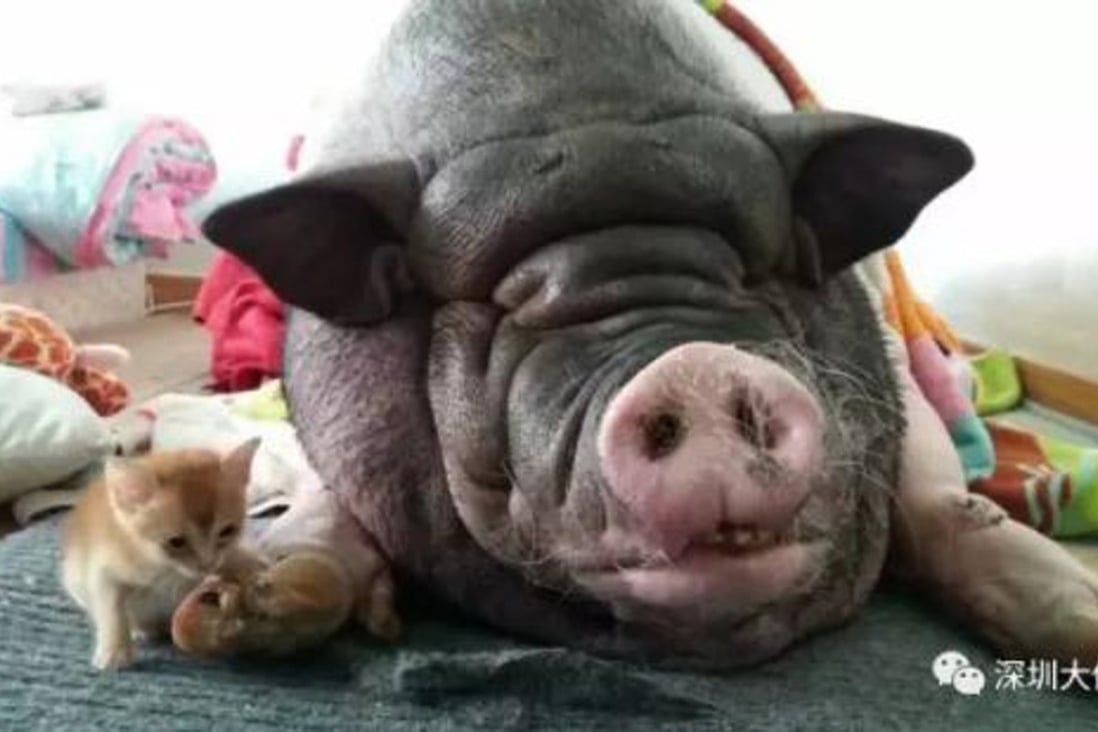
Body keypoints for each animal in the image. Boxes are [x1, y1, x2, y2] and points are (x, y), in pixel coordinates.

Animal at [201, 0, 1098, 668]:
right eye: (506, 303)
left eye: (753, 270)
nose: (694, 366)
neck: (576, 106)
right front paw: (254, 604)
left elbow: (940, 495)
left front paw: (1082, 624)